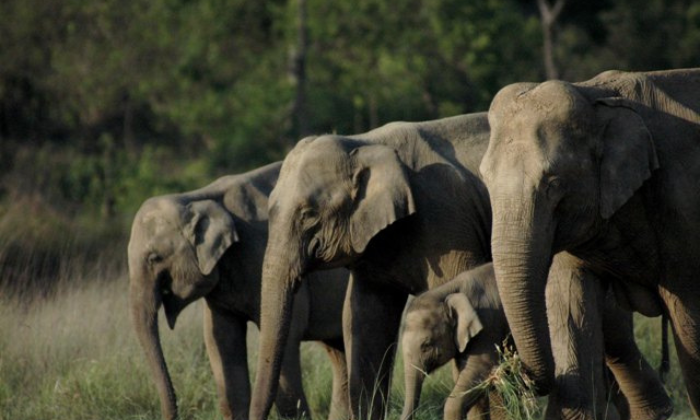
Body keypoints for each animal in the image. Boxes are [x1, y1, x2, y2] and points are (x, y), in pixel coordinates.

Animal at [126, 162, 350, 420]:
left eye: (154, 258)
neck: (196, 197)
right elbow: (221, 340)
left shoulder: (265, 253)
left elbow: (286, 336)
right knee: (339, 351)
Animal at [402, 262, 676, 420]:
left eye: (426, 345)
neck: (449, 289)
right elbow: (470, 379)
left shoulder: (488, 325)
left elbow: (478, 371)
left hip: (611, 309)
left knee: (617, 351)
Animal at [478, 69, 700, 416]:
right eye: (484, 180)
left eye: (554, 183)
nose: (512, 370)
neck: (594, 96)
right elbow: (571, 312)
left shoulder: (683, 203)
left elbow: (690, 326)